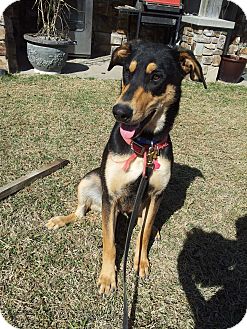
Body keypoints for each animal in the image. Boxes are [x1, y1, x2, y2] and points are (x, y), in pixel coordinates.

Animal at [46, 41, 206, 294]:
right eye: (127, 72)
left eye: (156, 76)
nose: (119, 112)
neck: (144, 145)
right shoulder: (110, 197)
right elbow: (109, 242)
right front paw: (107, 276)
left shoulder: (156, 194)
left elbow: (143, 234)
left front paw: (141, 261)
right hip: (89, 181)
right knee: (81, 212)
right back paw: (60, 220)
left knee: (142, 223)